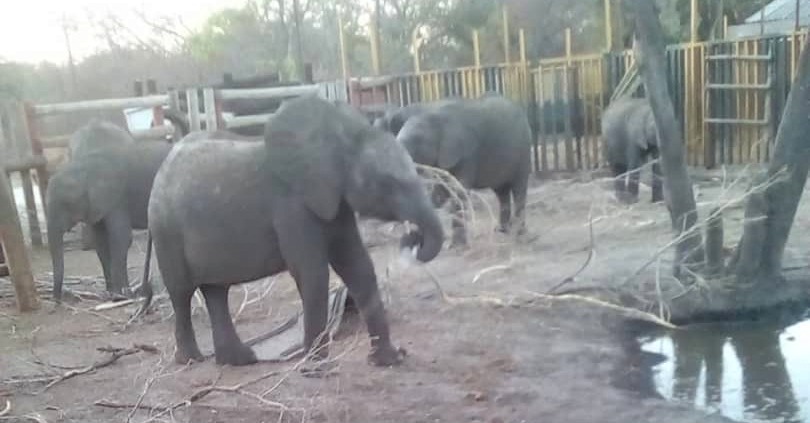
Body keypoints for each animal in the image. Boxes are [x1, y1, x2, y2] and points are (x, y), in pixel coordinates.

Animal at [46, 117, 189, 302]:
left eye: (67, 203)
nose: (59, 299)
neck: (85, 167)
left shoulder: (117, 198)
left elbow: (120, 238)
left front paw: (122, 295)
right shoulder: (97, 206)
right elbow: (100, 241)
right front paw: (110, 293)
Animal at [139, 95, 442, 368]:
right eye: (387, 184)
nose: (412, 238)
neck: (338, 141)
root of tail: (161, 170)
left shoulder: (334, 201)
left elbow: (358, 266)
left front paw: (390, 360)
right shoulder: (292, 206)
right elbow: (312, 273)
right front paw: (315, 368)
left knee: (216, 291)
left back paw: (239, 360)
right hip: (166, 230)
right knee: (182, 293)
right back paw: (191, 360)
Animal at [396, 94, 532, 247]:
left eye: (415, 141)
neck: (436, 118)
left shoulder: (466, 154)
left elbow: (459, 192)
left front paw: (456, 246)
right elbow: (441, 192)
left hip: (523, 152)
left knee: (519, 188)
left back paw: (518, 233)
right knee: (501, 192)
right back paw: (502, 231)